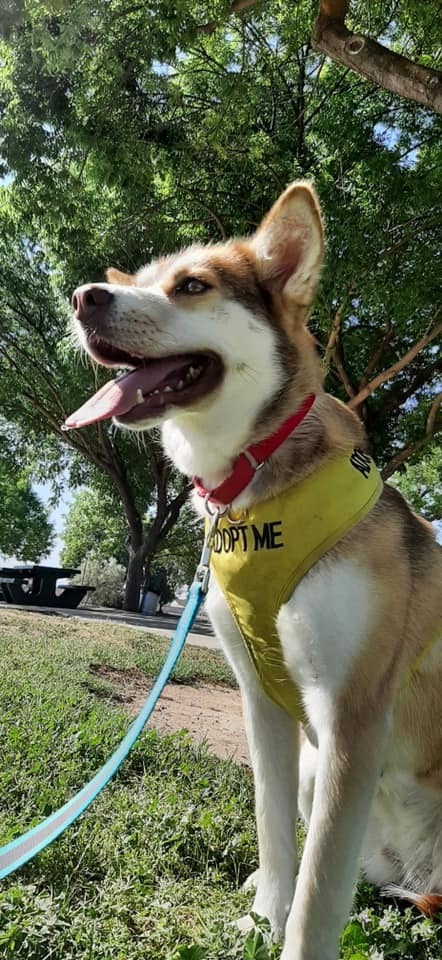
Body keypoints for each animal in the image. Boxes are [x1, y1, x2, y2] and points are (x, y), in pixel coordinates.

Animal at [65, 182, 442, 960]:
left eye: (192, 286)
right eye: (141, 279)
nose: (83, 296)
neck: (252, 480)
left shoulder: (352, 715)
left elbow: (318, 896)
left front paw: (292, 935)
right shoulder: (265, 705)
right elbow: (275, 834)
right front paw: (263, 915)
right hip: (314, 772)